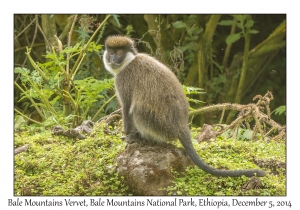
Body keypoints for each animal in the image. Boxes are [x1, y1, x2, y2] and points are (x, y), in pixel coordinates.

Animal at [102, 34, 264, 177]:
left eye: (119, 53)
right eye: (111, 52)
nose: (113, 59)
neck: (129, 61)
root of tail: (181, 126)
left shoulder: (123, 80)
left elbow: (127, 107)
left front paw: (126, 135)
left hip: (160, 126)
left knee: (137, 110)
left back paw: (142, 137)